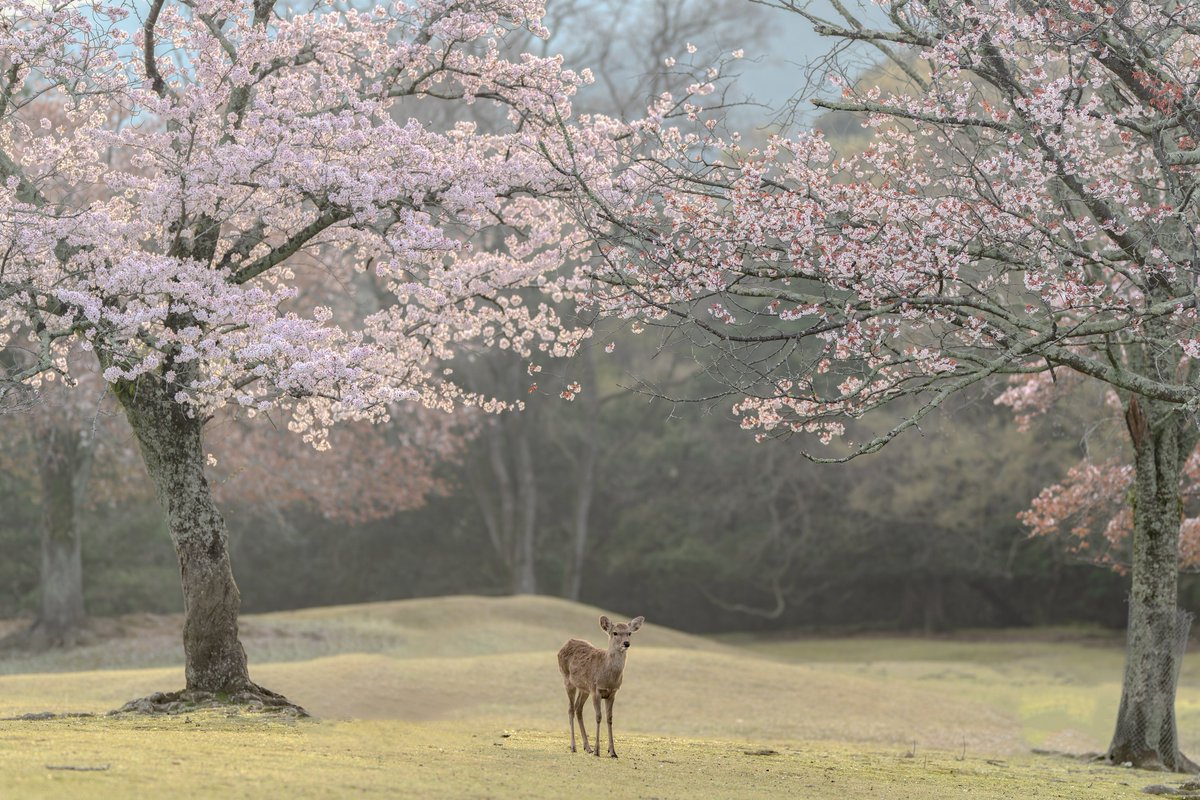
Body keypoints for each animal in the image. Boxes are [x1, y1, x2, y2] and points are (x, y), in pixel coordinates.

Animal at [554, 618, 643, 758]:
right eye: (615, 632)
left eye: (629, 633)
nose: (626, 643)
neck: (608, 678)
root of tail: (565, 644)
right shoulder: (596, 690)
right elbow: (598, 717)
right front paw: (597, 751)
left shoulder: (612, 693)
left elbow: (609, 718)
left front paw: (613, 752)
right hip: (568, 680)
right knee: (570, 709)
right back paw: (574, 747)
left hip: (584, 688)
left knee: (578, 708)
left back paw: (587, 747)